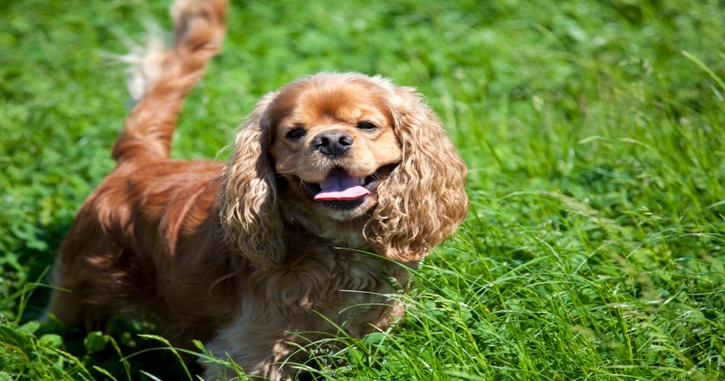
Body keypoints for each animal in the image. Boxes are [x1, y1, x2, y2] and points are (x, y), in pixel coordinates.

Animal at [49, 0, 470, 376]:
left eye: (367, 125)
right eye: (295, 133)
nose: (331, 139)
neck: (337, 247)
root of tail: (139, 158)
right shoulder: (251, 352)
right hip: (81, 284)